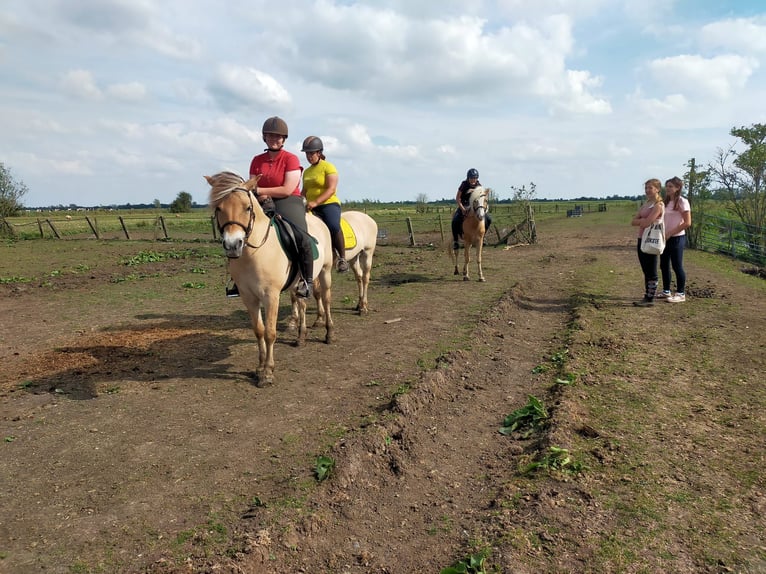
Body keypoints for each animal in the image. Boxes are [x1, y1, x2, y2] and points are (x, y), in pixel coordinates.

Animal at [206, 171, 334, 388]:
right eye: (218, 208)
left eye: (247, 207)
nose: (233, 245)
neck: (255, 252)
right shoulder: (248, 297)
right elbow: (258, 330)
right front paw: (259, 368)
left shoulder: (271, 296)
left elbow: (270, 332)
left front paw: (267, 372)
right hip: (298, 284)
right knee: (302, 305)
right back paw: (301, 337)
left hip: (325, 272)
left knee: (325, 299)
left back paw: (329, 333)